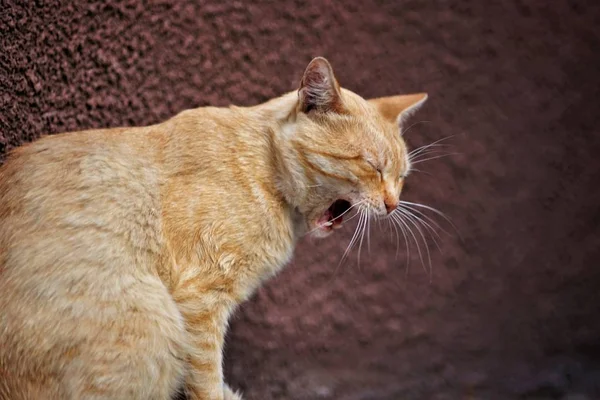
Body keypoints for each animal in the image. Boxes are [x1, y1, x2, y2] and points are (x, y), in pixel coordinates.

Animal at [0, 57, 426, 400]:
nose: (393, 204)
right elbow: (205, 376)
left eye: (401, 177)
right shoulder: (201, 301)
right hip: (154, 320)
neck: (263, 166)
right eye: (373, 166)